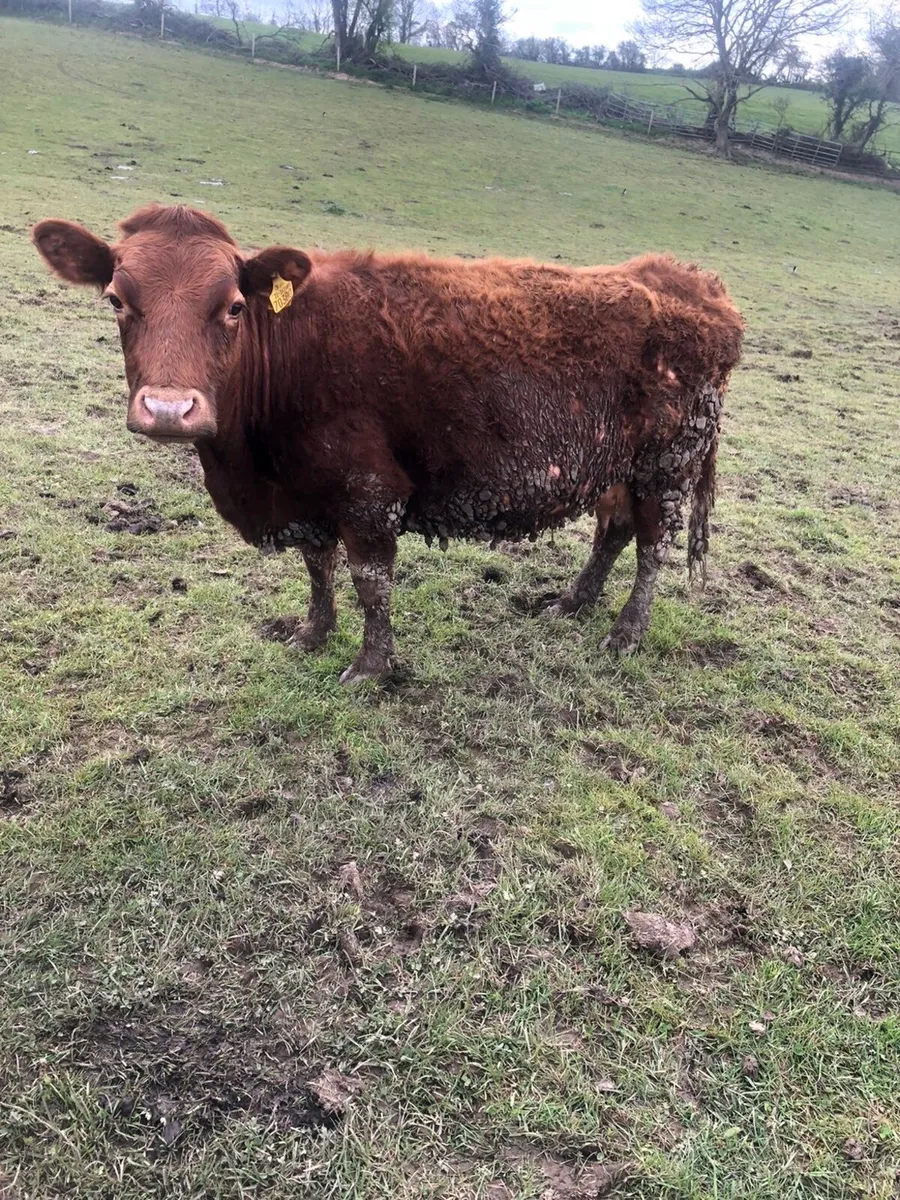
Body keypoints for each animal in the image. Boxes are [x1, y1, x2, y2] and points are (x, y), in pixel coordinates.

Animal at [33, 205, 743, 684]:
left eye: (233, 306)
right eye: (115, 299)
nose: (169, 409)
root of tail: (693, 282)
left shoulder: (368, 490)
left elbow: (370, 581)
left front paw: (371, 665)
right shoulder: (304, 491)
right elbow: (317, 567)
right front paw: (313, 632)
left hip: (667, 465)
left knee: (651, 547)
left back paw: (625, 632)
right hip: (616, 464)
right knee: (614, 530)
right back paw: (571, 603)